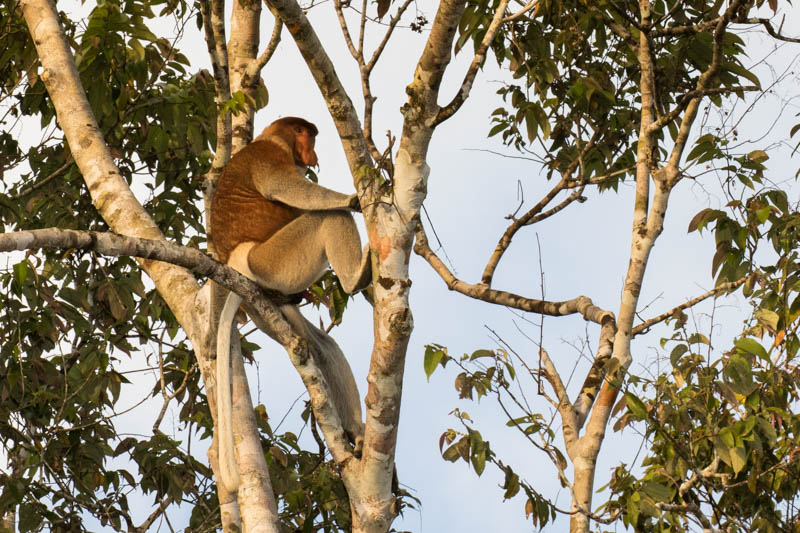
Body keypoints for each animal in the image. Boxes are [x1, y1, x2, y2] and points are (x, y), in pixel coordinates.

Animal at [206, 116, 368, 490]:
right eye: (306, 134)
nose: (313, 155)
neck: (270, 137)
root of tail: (239, 264)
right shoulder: (270, 155)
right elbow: (288, 188)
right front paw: (353, 199)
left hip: (266, 303)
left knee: (322, 348)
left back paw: (356, 434)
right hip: (274, 262)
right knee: (330, 218)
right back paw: (358, 276)